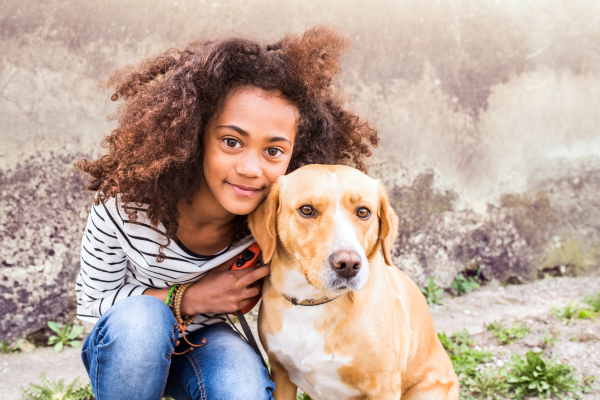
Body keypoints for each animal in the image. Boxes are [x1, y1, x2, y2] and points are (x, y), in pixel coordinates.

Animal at [246, 164, 458, 398]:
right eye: (307, 209)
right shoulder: (281, 374)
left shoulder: (384, 387)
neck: (313, 302)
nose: (348, 264)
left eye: (363, 212)